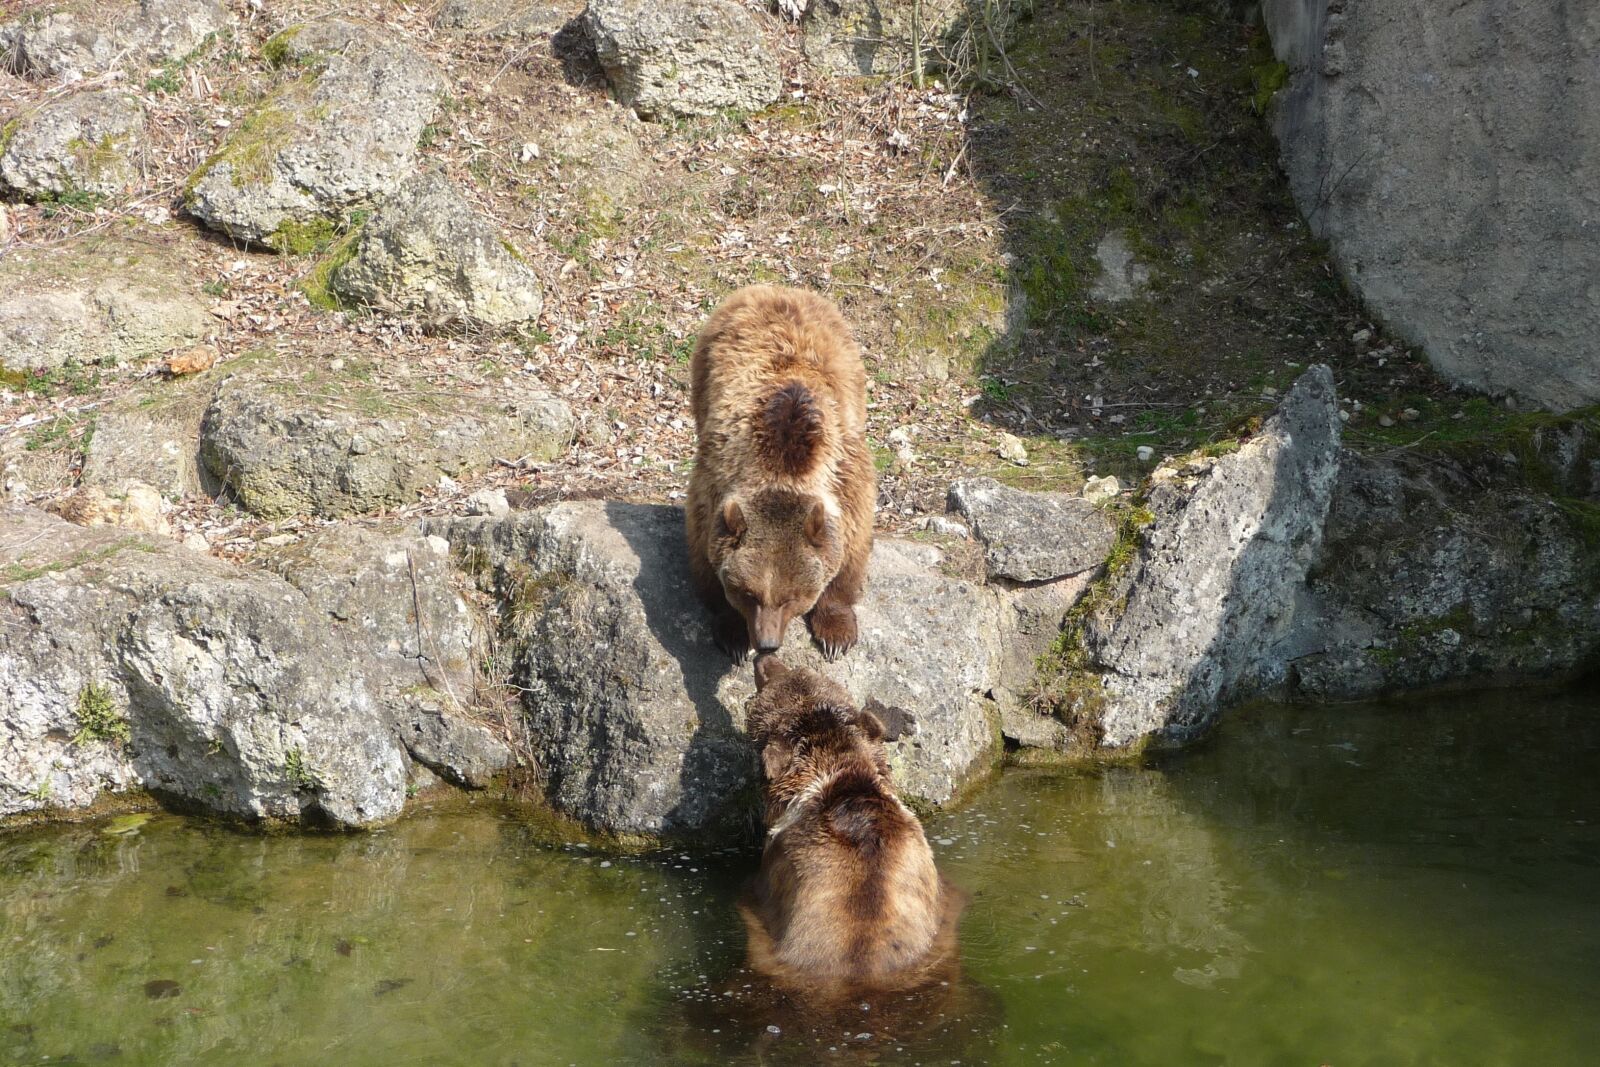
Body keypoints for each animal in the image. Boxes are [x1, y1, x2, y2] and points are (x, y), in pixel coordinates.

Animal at [681, 283, 870, 659]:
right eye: (749, 594)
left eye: (791, 598)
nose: (767, 644)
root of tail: (776, 288)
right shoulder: (714, 480)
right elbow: (706, 549)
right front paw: (732, 634)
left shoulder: (848, 476)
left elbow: (850, 549)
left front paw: (836, 633)